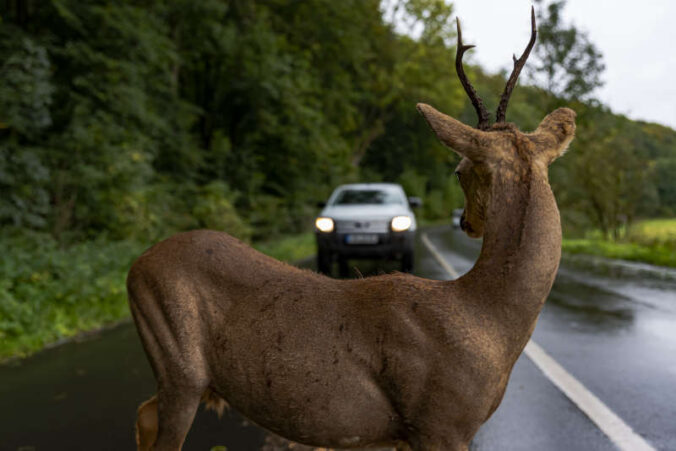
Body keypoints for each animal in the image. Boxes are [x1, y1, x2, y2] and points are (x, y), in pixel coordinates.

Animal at [128, 7, 576, 451]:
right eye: (459, 170)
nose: (467, 222)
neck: (488, 318)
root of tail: (135, 267)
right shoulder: (439, 423)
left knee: (144, 414)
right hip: (180, 365)